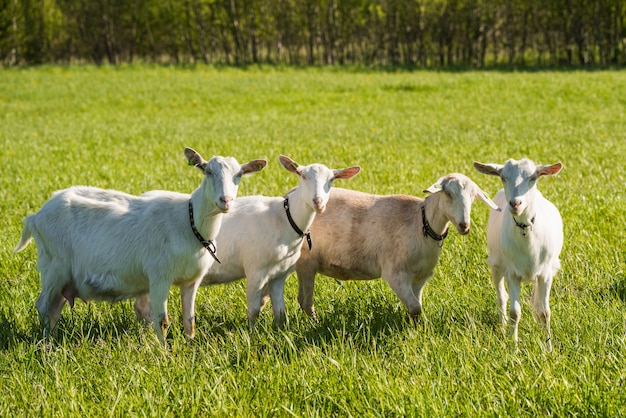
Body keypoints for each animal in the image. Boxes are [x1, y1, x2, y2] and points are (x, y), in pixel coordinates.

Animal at [13, 149, 264, 344]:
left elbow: (189, 319)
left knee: (55, 308)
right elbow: (162, 320)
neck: (189, 221)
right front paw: (166, 353)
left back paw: (53, 339)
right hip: (53, 267)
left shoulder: (191, 280)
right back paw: (46, 344)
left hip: (65, 276)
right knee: (43, 306)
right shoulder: (159, 276)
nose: (225, 201)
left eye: (239, 174)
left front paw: (190, 344)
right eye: (208, 171)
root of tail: (35, 217)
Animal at [134, 154, 358, 330]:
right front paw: (252, 335)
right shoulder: (255, 270)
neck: (282, 219)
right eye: (302, 175)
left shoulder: (279, 274)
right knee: (144, 307)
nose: (318, 203)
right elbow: (254, 310)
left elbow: (280, 312)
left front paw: (281, 333)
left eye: (332, 179)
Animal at [292, 173, 498, 320]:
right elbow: (415, 307)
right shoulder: (396, 274)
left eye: (473, 197)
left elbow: (416, 307)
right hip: (306, 262)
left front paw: (415, 330)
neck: (421, 222)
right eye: (448, 193)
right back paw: (314, 324)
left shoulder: (420, 277)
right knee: (306, 301)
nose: (465, 226)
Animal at [472, 157, 560, 350]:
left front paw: (549, 347)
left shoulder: (545, 273)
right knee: (501, 297)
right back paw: (502, 327)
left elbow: (545, 312)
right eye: (503, 177)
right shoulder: (512, 273)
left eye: (533, 178)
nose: (515, 203)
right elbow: (515, 312)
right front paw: (514, 346)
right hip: (496, 265)